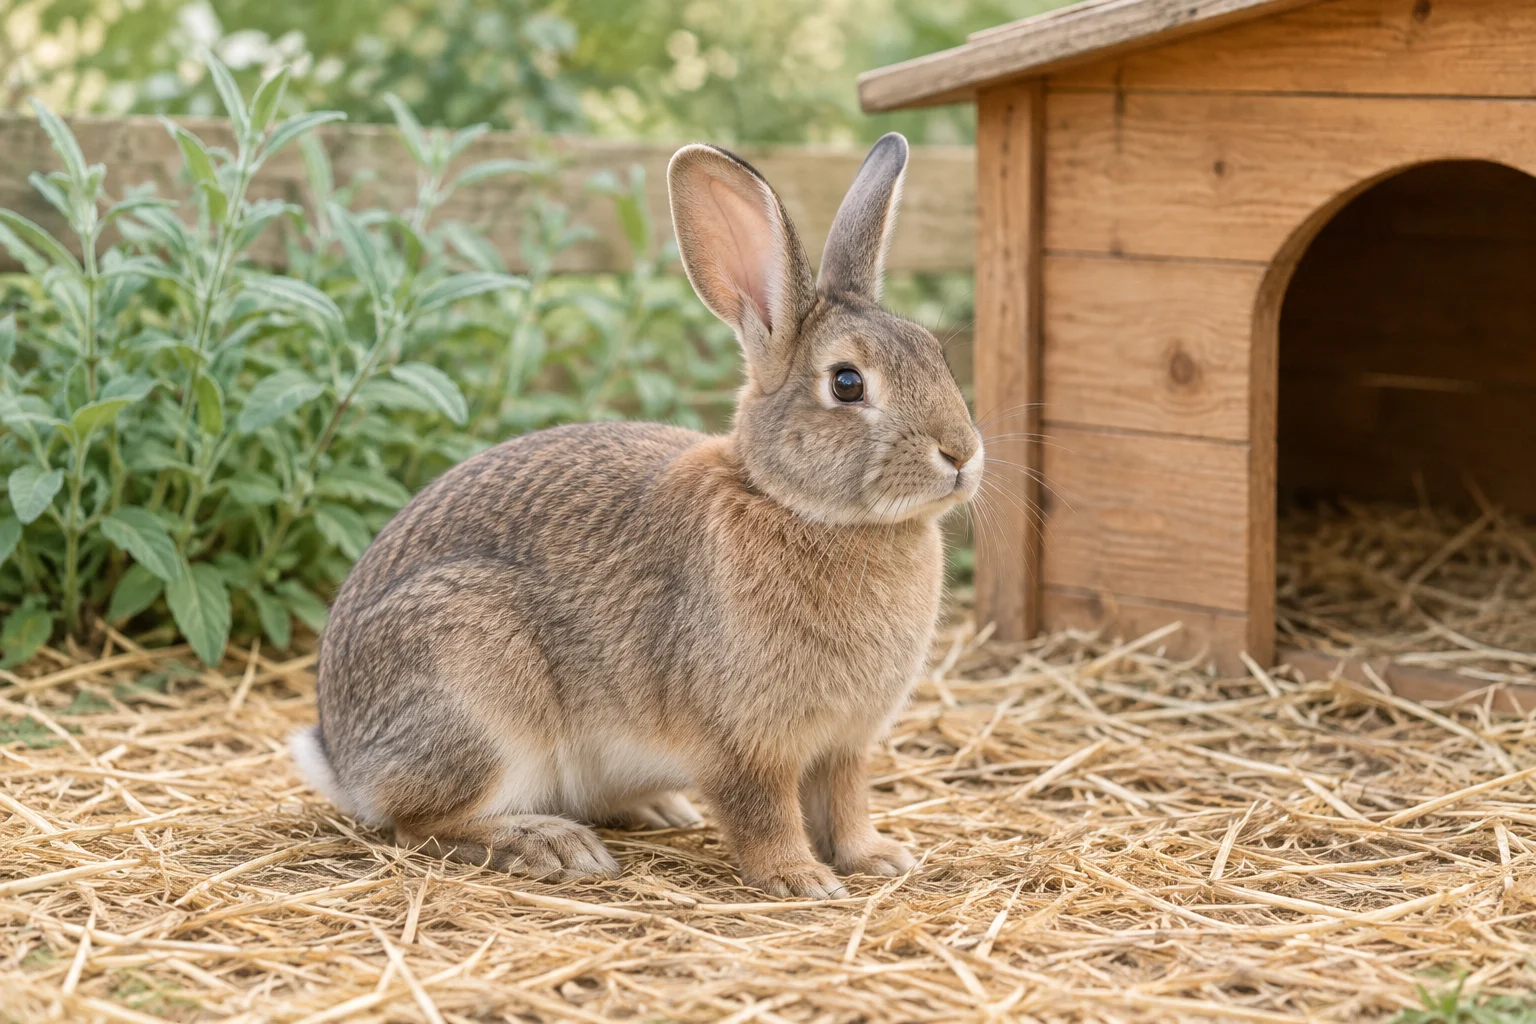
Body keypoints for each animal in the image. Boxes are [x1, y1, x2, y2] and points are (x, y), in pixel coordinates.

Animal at [289, 132, 983, 899]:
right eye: (848, 383)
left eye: (935, 353)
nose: (962, 453)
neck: (793, 504)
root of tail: (343, 755)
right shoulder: (745, 744)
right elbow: (764, 813)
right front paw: (800, 880)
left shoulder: (845, 745)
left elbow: (847, 803)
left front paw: (878, 859)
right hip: (474, 689)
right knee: (419, 821)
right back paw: (550, 845)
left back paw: (653, 809)